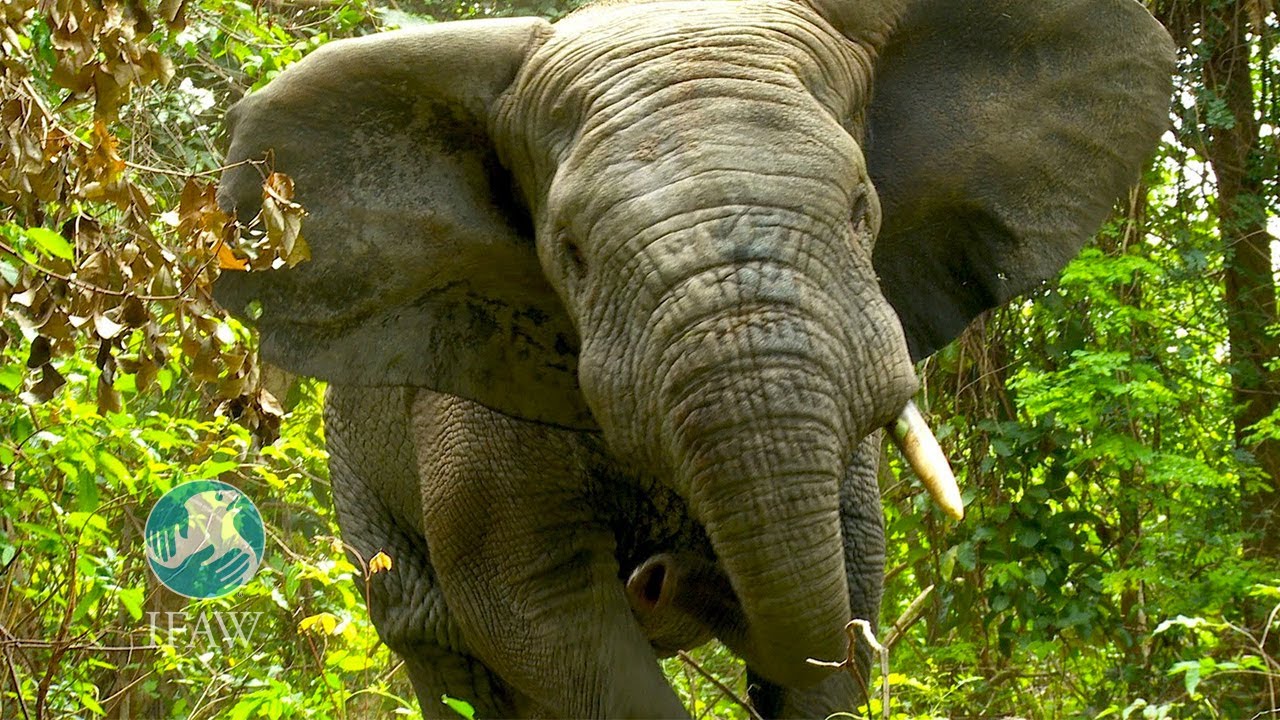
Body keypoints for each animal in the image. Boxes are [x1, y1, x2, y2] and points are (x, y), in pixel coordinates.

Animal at [213, 0, 1174, 715]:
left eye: (862, 207)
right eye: (571, 253)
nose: (660, 569)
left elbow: (846, 585)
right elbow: (533, 613)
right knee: (441, 651)